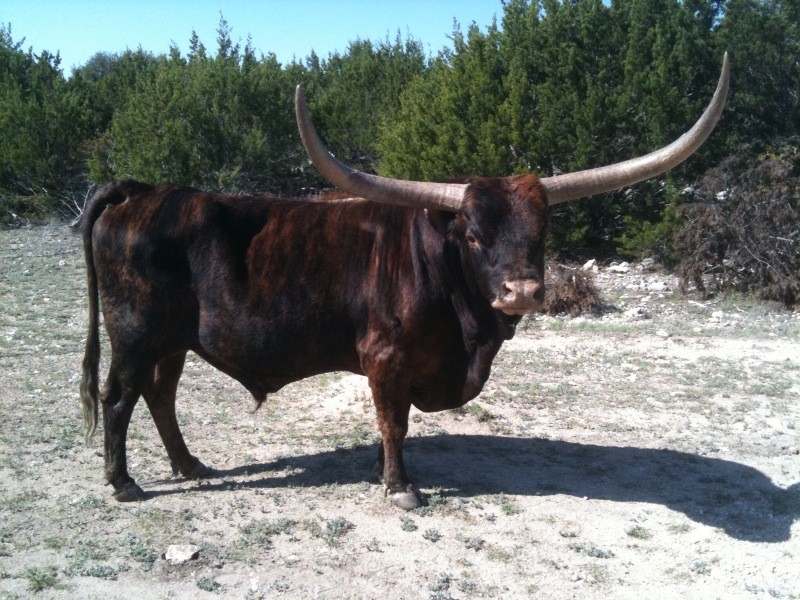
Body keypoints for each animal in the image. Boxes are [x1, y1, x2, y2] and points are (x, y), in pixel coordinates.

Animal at [83, 56, 732, 508]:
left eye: (542, 230)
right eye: (474, 234)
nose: (522, 293)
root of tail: (143, 191)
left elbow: (390, 424)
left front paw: (381, 471)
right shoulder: (385, 359)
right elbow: (394, 422)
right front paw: (400, 487)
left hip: (172, 342)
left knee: (160, 397)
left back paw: (189, 465)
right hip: (135, 335)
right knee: (119, 398)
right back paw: (124, 482)